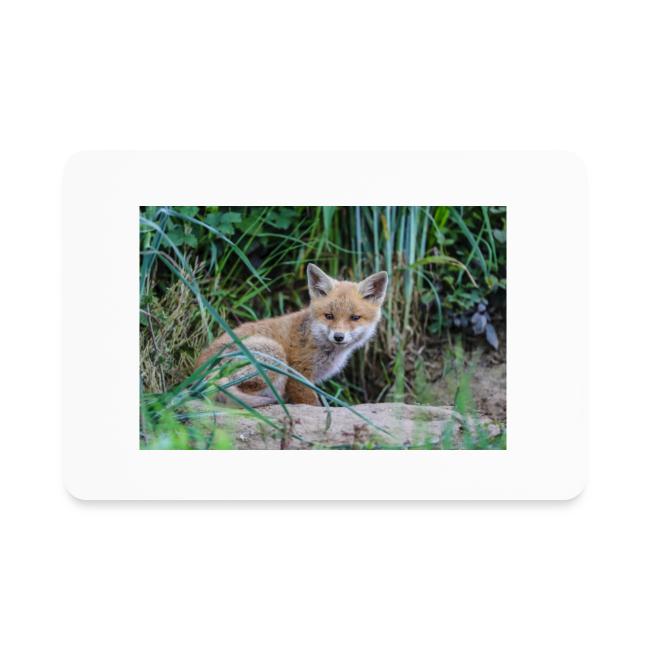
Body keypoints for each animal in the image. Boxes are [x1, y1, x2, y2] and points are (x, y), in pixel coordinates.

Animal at [195, 263, 389, 407]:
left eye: (354, 318)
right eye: (329, 316)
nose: (338, 337)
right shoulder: (299, 374)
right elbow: (311, 403)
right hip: (274, 354)